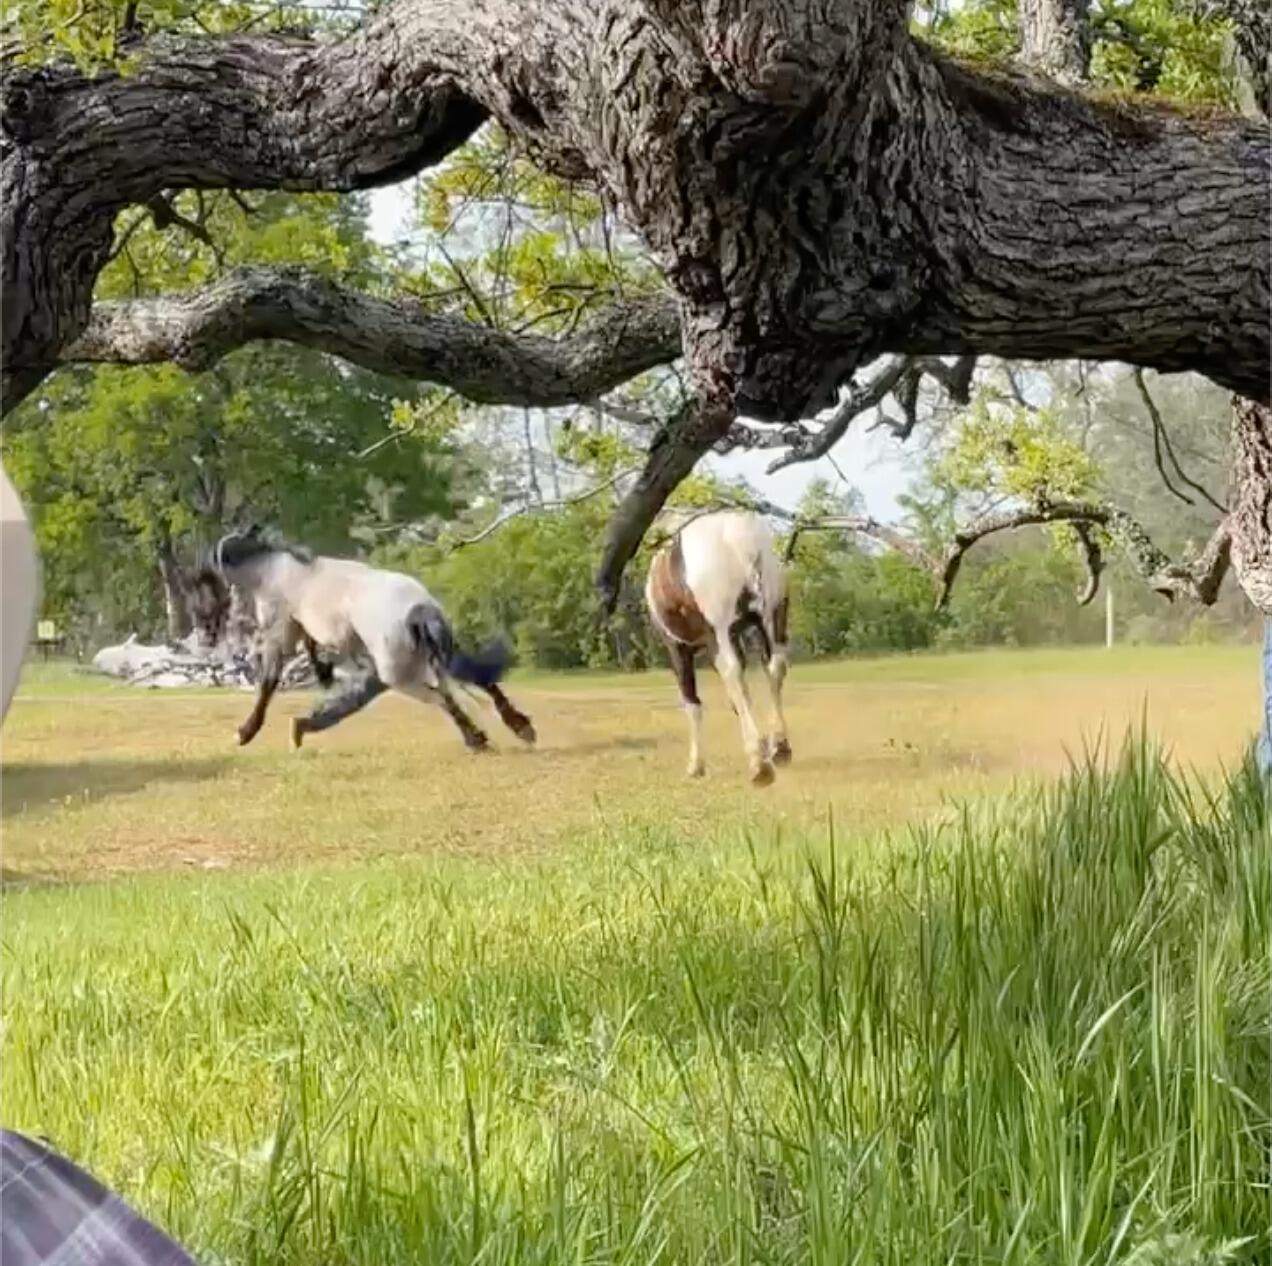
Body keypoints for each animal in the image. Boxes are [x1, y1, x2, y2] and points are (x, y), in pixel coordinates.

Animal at [188, 529, 536, 753]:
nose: (205, 628)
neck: (272, 570)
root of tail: (420, 609)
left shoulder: (280, 631)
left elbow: (268, 683)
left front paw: (245, 733)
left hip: (400, 674)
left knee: (443, 697)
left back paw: (477, 739)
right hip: (433, 653)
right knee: (476, 678)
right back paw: (519, 727)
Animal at [644, 509, 791, 786]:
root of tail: (741, 539)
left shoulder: (678, 646)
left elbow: (692, 702)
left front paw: (696, 766)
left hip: (722, 631)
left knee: (733, 674)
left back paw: (758, 765)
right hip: (771, 618)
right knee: (774, 668)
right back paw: (779, 747)